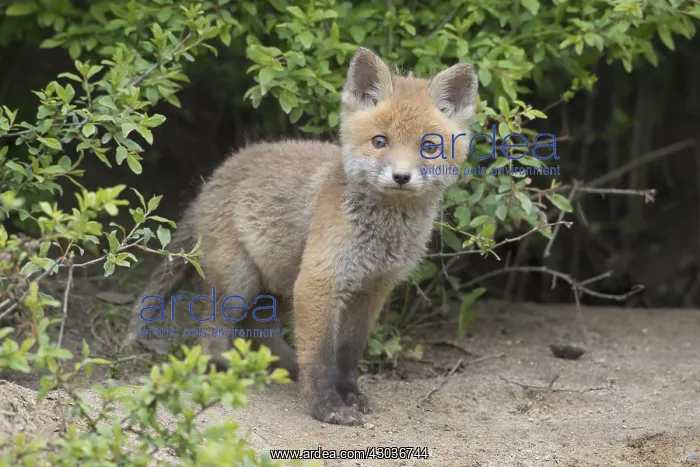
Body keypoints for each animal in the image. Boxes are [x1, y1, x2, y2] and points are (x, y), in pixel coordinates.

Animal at [123, 47, 478, 425]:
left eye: (429, 147)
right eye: (380, 141)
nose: (401, 177)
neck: (382, 236)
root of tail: (217, 174)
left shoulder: (373, 289)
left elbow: (347, 352)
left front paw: (348, 392)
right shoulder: (318, 281)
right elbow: (320, 356)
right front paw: (327, 406)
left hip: (280, 281)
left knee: (258, 327)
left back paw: (283, 369)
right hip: (239, 283)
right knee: (212, 329)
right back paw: (221, 367)